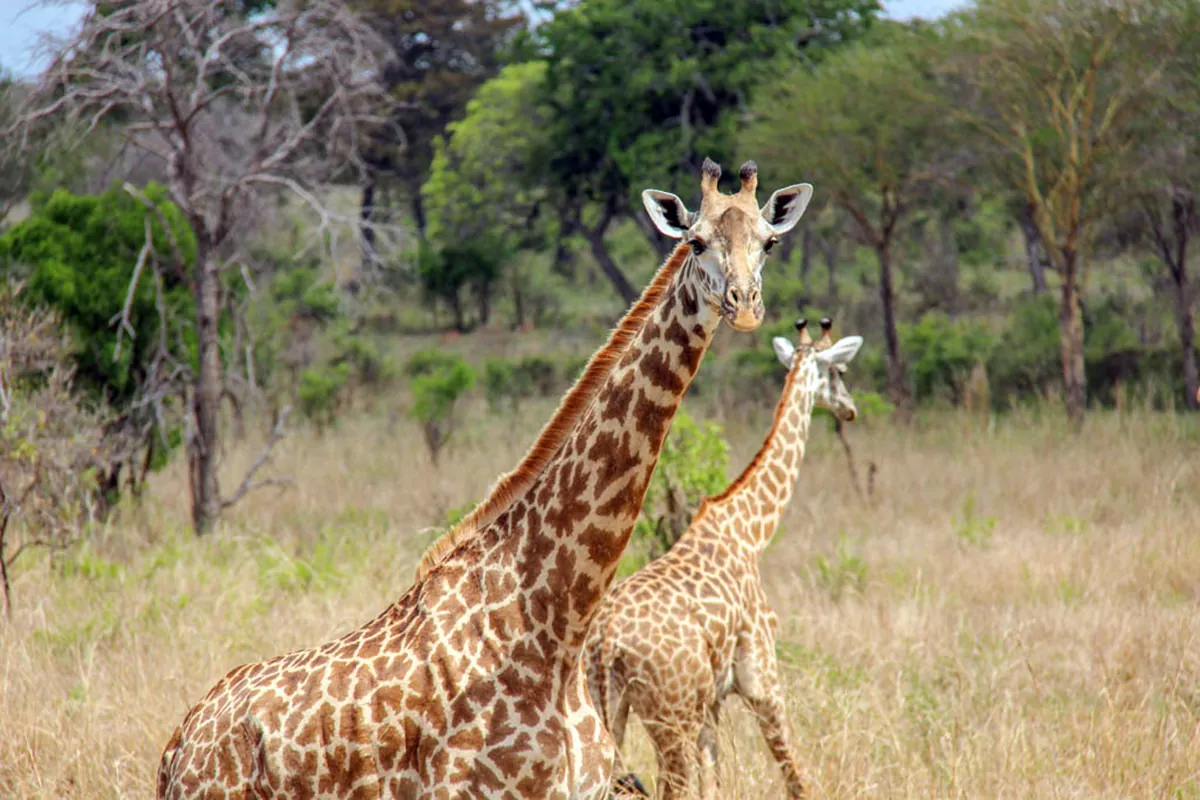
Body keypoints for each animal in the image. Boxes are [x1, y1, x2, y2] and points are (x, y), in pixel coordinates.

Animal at [584, 318, 864, 799]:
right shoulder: (762, 679)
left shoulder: (712, 701)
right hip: (669, 716)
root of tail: (608, 640)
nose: (850, 410)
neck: (749, 531)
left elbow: (713, 781)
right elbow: (796, 776)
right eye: (840, 372)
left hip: (609, 710)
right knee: (669, 787)